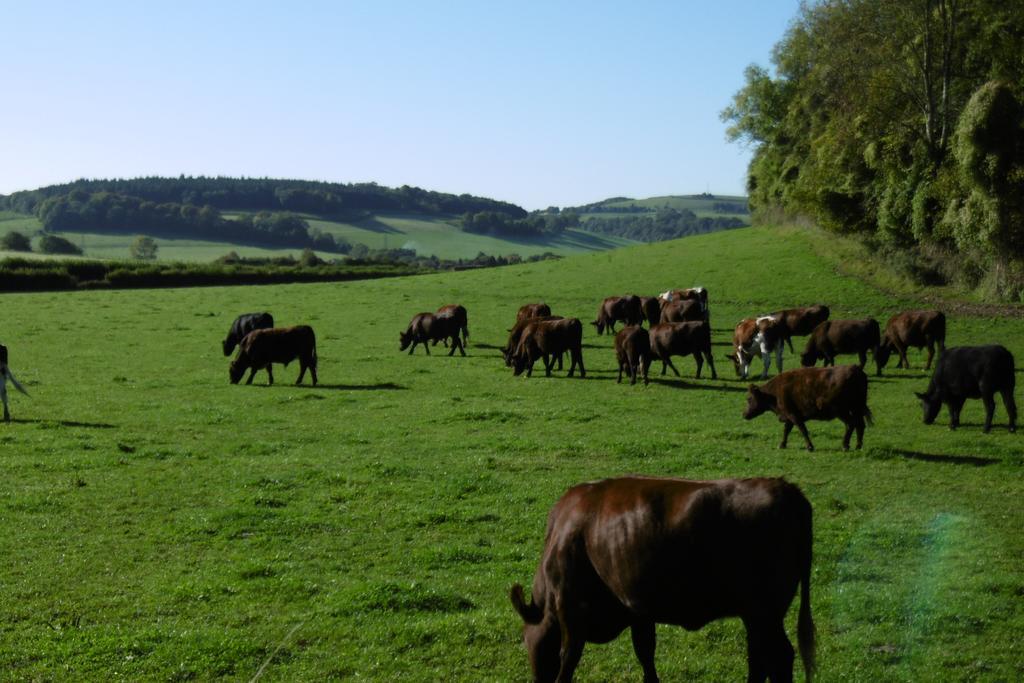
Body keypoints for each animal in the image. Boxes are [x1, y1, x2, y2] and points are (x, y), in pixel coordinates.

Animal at [512, 475, 815, 683]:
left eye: (526, 640)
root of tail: (786, 488)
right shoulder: (636, 609)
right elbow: (645, 652)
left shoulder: (571, 607)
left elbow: (568, 658)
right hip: (756, 616)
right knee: (760, 658)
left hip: (765, 613)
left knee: (779, 657)